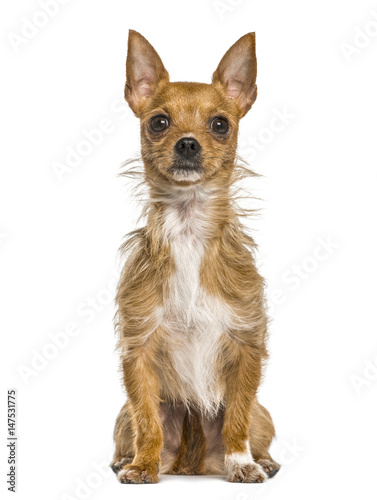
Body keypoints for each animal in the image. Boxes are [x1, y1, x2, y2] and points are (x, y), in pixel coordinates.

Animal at [109, 29, 280, 482]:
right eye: (159, 122)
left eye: (220, 124)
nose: (188, 143)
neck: (188, 229)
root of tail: (194, 463)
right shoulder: (139, 349)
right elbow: (147, 418)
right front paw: (143, 466)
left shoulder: (246, 345)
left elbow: (236, 414)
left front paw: (241, 464)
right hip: (121, 417)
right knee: (133, 428)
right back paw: (128, 459)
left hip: (264, 414)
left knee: (253, 425)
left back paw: (262, 460)